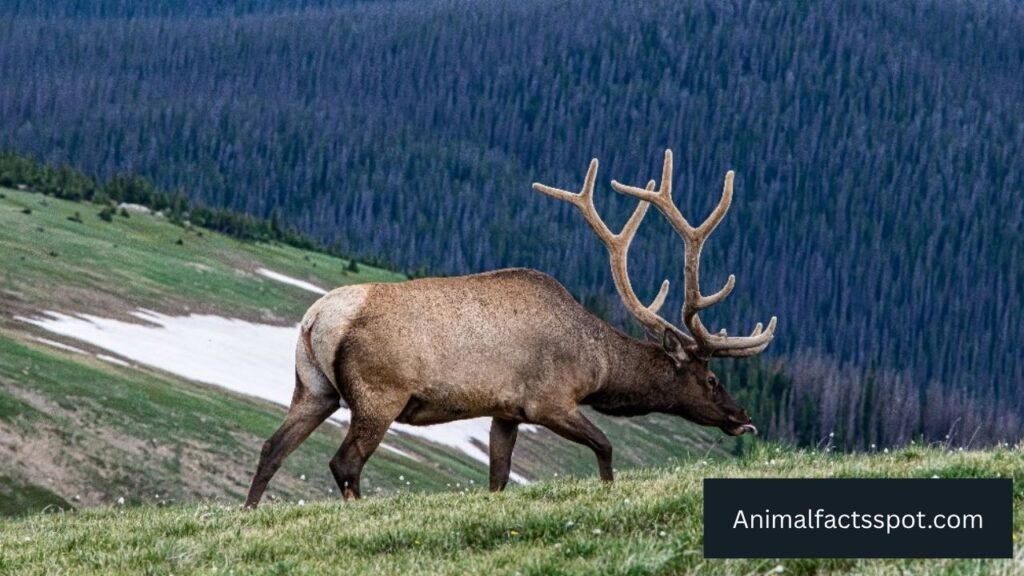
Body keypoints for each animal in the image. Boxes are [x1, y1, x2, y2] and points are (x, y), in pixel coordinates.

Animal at [243, 150, 776, 508]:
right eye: (711, 378)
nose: (743, 415)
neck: (598, 365)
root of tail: (317, 318)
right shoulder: (549, 400)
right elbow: (605, 446)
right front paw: (609, 490)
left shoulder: (506, 411)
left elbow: (498, 476)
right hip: (378, 393)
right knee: (344, 462)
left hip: (313, 387)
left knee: (272, 448)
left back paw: (249, 512)